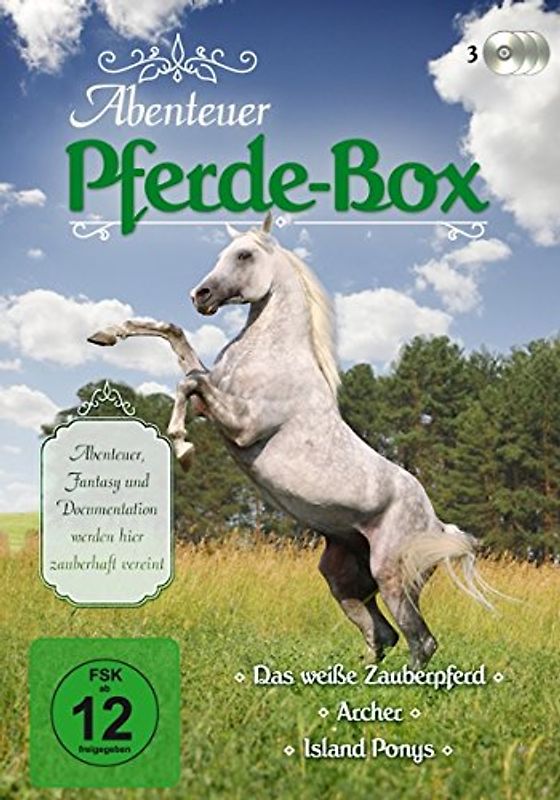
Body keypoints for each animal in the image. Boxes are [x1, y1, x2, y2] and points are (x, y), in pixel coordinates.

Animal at [88, 213, 496, 668]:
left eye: (244, 255)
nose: (200, 295)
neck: (272, 354)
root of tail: (439, 526)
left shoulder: (242, 423)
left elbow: (187, 381)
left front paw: (184, 449)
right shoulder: (212, 400)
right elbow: (177, 343)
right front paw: (107, 333)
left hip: (393, 577)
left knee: (420, 641)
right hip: (344, 579)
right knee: (383, 634)